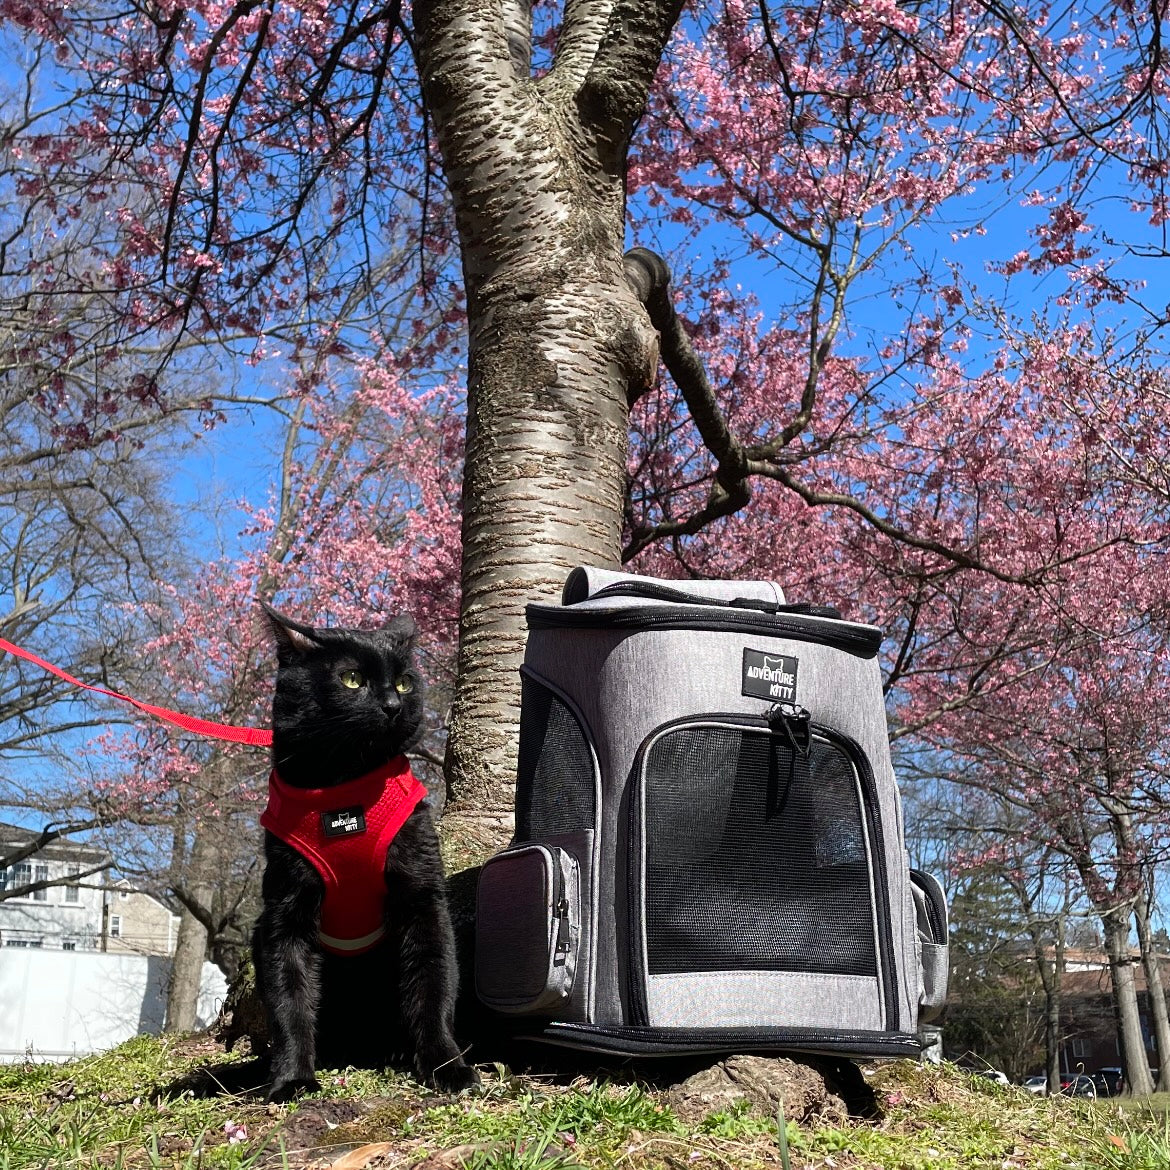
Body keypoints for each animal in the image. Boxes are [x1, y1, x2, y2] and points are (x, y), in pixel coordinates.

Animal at [253, 603, 477, 1104]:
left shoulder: (422, 898)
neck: (343, 786)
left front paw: (447, 1066)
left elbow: (434, 985)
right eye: (352, 679)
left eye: (406, 682)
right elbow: (289, 1000)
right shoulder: (284, 912)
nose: (393, 704)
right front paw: (292, 1079)